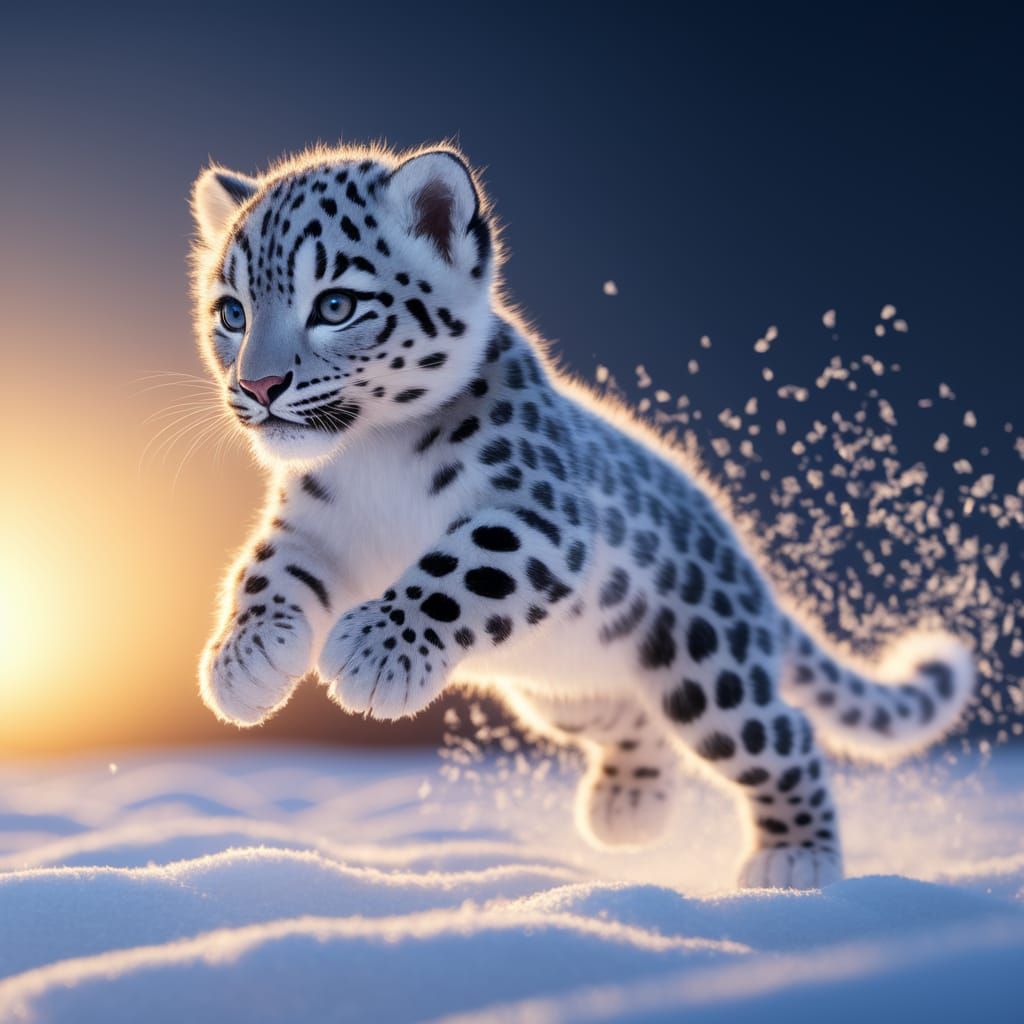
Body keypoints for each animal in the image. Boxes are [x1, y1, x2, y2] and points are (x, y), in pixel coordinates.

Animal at [189, 143, 975, 889]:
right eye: (233, 313)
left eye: (336, 305)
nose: (259, 386)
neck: (370, 453)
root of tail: (740, 555)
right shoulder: (313, 531)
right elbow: (263, 576)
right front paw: (244, 665)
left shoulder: (540, 517)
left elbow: (453, 570)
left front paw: (373, 655)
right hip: (558, 692)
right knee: (633, 716)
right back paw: (629, 809)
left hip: (707, 668)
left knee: (782, 735)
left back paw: (796, 860)